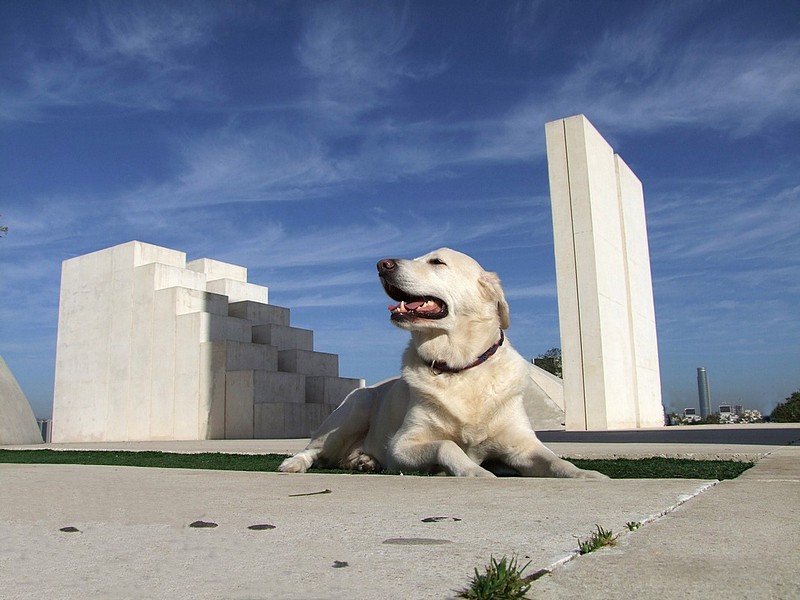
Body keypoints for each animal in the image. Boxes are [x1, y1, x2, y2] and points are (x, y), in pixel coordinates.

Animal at [280, 247, 608, 478]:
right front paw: (476, 471)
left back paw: (364, 461)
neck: (459, 367)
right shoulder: (402, 446)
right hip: (353, 409)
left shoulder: (522, 446)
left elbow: (555, 460)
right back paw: (294, 464)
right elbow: (447, 445)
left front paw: (588, 475)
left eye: (437, 262)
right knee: (314, 450)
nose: (381, 264)